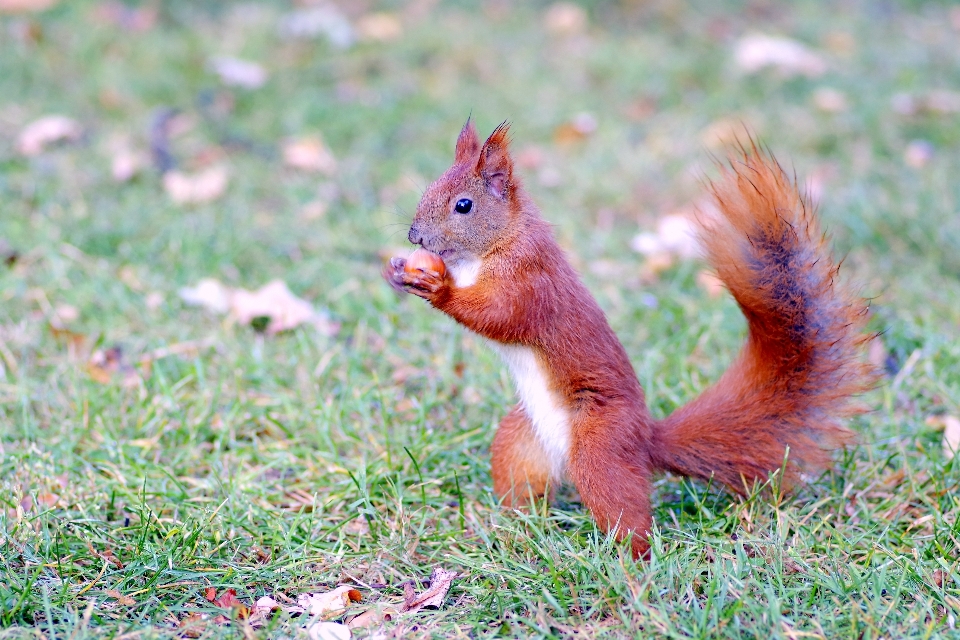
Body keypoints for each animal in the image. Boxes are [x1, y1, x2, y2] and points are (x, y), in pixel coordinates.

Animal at [380, 121, 872, 560]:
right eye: (430, 188)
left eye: (463, 205)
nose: (414, 236)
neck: (488, 249)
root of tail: (645, 439)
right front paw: (398, 271)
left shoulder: (530, 284)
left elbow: (498, 316)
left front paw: (438, 289)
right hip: (519, 443)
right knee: (524, 488)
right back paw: (510, 525)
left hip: (601, 448)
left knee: (626, 514)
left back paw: (631, 562)